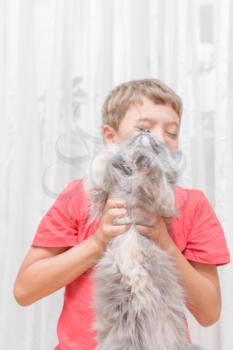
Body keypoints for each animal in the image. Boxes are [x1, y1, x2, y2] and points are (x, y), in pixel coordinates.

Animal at [84, 131, 202, 350]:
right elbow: (101, 163)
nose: (145, 130)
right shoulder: (101, 195)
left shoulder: (164, 200)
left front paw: (144, 160)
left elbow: (156, 174)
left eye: (157, 142)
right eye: (137, 132)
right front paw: (115, 155)